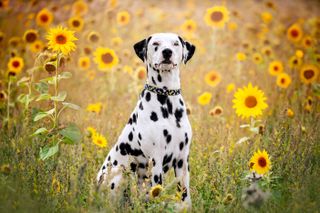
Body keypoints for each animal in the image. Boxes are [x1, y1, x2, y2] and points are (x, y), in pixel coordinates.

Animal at [95, 32, 195, 206]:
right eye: (156, 43)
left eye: (175, 44)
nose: (167, 52)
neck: (167, 102)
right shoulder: (156, 160)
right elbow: (157, 191)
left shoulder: (182, 160)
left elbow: (185, 194)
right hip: (121, 174)